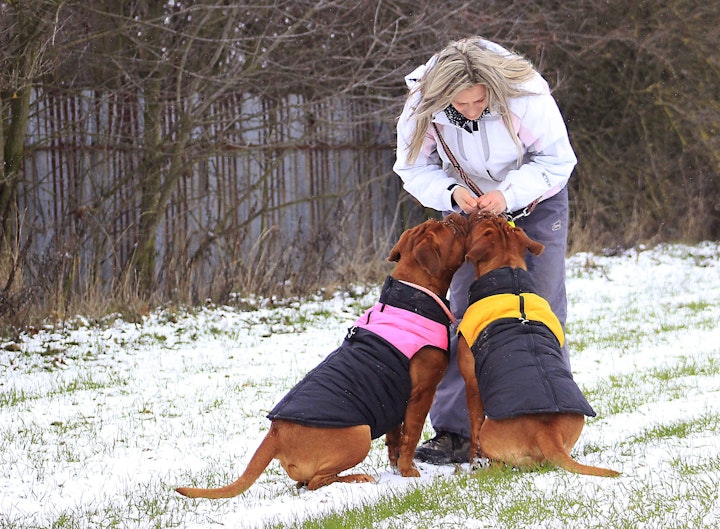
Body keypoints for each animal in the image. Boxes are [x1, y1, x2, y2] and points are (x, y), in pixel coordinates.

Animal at [174, 212, 466, 498]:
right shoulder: (422, 394)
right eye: (449, 227)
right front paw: (409, 472)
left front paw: (396, 468)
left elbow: (394, 438)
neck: (412, 294)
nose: (456, 214)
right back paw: (356, 478)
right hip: (359, 435)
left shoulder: (395, 398)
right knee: (316, 481)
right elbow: (411, 436)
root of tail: (275, 433)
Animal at [456, 212, 620, 476]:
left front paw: (472, 461)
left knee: (504, 462)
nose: (481, 209)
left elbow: (473, 426)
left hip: (490, 430)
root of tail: (547, 433)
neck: (512, 279)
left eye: (481, 220)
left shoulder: (472, 382)